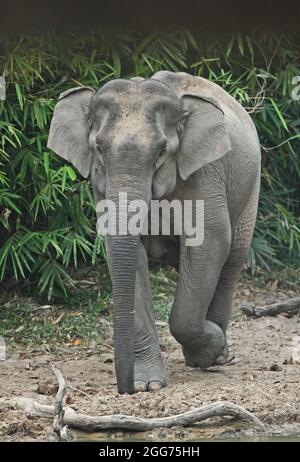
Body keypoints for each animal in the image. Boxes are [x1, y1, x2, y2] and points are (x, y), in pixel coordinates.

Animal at [47, 71, 260, 394]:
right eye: (99, 149)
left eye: (161, 151)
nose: (124, 389)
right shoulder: (100, 188)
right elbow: (125, 253)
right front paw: (147, 384)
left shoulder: (205, 174)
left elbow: (210, 242)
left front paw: (211, 348)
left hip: (251, 189)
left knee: (232, 258)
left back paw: (217, 355)